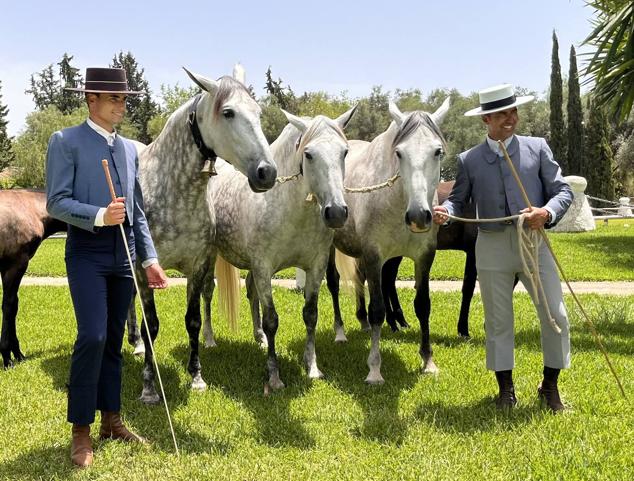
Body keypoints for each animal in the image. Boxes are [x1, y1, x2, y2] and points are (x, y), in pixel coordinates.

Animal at [0, 189, 66, 366]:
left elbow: (14, 305)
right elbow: (9, 306)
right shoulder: (16, 264)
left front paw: (18, 353)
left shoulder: (6, 268)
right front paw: (7, 357)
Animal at [130, 69, 276, 404]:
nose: (267, 172)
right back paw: (136, 345)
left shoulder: (197, 267)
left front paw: (196, 376)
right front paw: (148, 387)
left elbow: (193, 320)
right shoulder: (145, 272)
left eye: (258, 113)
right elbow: (151, 326)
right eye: (228, 112)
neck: (174, 194)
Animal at [202, 108, 354, 390]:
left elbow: (310, 314)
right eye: (308, 154)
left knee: (251, 293)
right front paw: (274, 376)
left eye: (345, 152)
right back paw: (209, 339)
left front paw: (312, 366)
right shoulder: (264, 267)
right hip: (211, 258)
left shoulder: (315, 266)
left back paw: (259, 338)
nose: (337, 212)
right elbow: (272, 320)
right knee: (207, 293)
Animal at [330, 99, 450, 384]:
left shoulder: (424, 256)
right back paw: (340, 332)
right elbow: (377, 310)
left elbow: (423, 305)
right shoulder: (374, 256)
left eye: (437, 152)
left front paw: (428, 361)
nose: (418, 216)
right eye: (399, 153)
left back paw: (361, 322)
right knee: (333, 283)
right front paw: (374, 369)